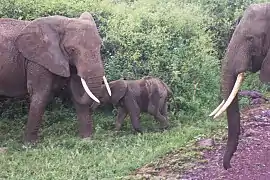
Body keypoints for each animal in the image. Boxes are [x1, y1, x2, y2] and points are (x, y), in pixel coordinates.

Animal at [0, 11, 110, 144]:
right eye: (72, 50)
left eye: (100, 46)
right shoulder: (37, 61)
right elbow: (41, 94)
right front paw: (29, 144)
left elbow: (77, 90)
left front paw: (87, 140)